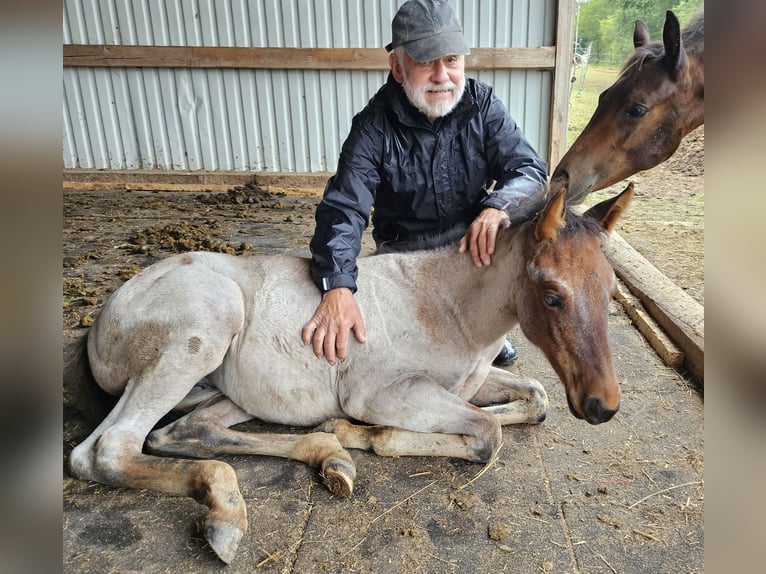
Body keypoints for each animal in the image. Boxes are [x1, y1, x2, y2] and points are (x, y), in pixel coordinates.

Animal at [66, 182, 633, 564]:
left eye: (610, 289)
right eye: (552, 294)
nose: (602, 407)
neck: (445, 306)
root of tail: (101, 320)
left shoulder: (469, 382)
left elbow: (535, 397)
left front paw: (346, 437)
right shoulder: (382, 393)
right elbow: (486, 431)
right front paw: (368, 435)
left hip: (229, 391)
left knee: (183, 431)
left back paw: (326, 456)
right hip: (200, 336)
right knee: (106, 449)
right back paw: (232, 508)